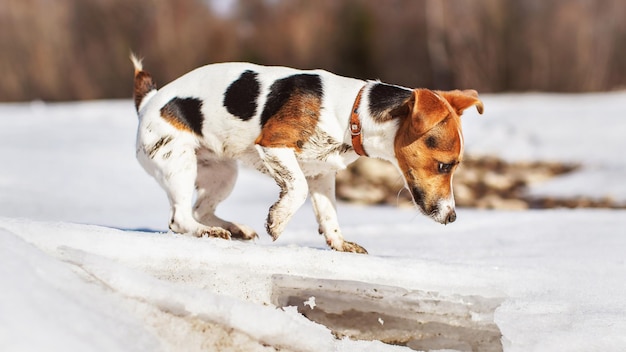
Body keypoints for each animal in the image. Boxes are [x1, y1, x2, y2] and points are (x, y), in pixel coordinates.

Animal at [130, 55, 482, 253]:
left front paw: (339, 244)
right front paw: (278, 221)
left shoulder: (322, 173)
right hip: (178, 161)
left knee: (200, 209)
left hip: (222, 172)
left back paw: (233, 228)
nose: (452, 217)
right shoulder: (274, 145)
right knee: (180, 218)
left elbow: (328, 214)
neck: (354, 113)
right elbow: (296, 189)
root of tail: (148, 99)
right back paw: (208, 231)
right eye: (444, 165)